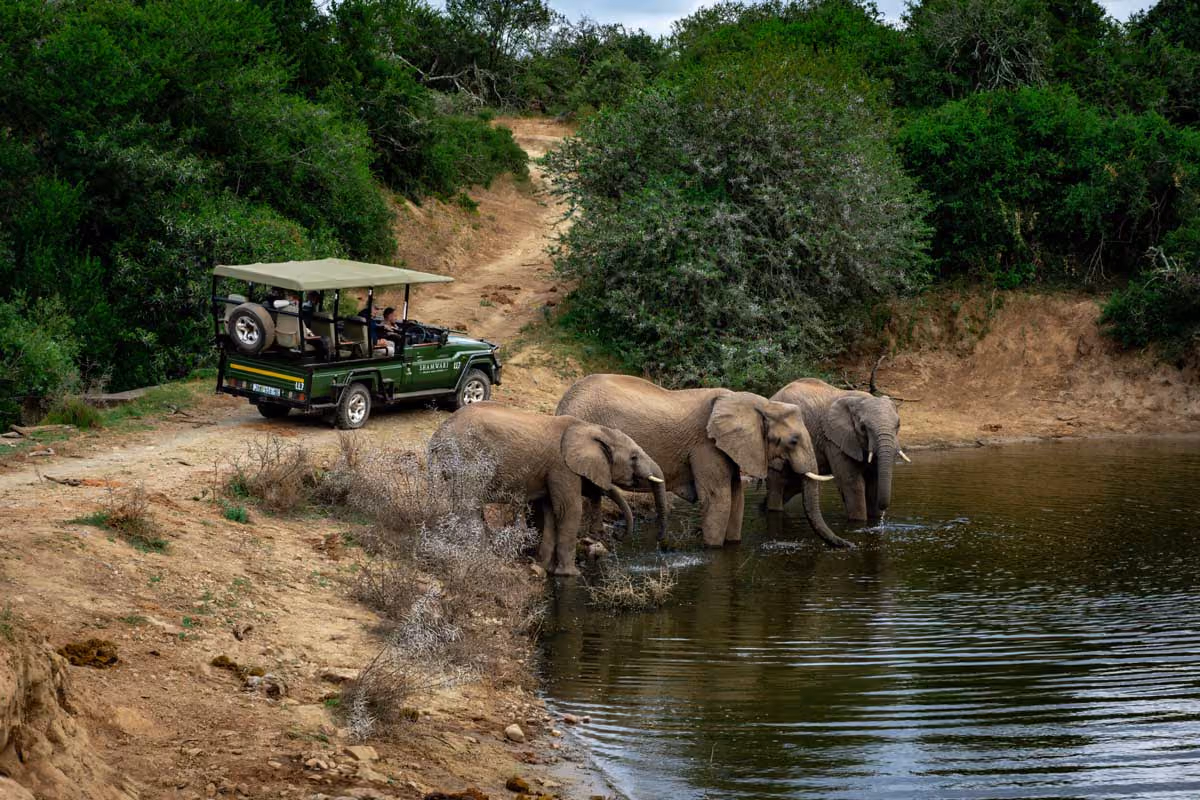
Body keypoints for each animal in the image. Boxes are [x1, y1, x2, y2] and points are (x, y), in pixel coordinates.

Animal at [427, 402, 666, 576]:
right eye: (634, 457)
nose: (617, 535)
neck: (593, 428)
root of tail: (437, 436)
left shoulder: (550, 471)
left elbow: (551, 512)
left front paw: (545, 568)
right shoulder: (562, 466)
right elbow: (569, 510)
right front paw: (571, 575)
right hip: (468, 457)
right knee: (468, 506)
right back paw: (485, 558)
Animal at [556, 374, 852, 549]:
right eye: (792, 441)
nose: (850, 546)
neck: (757, 403)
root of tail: (563, 402)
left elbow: (736, 497)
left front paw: (732, 544)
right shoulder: (706, 446)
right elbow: (719, 497)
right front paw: (712, 549)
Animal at [767, 378, 910, 522]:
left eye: (898, 425)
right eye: (863, 427)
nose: (884, 510)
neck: (859, 400)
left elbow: (874, 481)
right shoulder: (834, 440)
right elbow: (852, 483)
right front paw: (859, 521)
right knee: (778, 482)